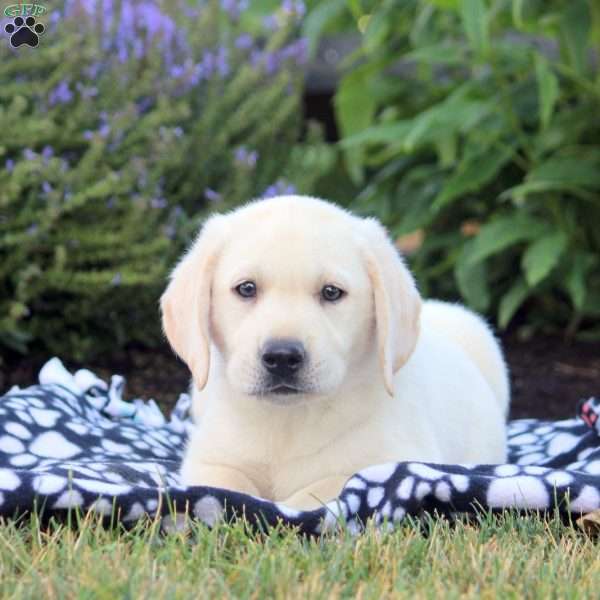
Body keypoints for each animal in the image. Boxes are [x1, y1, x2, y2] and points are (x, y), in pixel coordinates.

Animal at [162, 195, 508, 508]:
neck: (289, 421)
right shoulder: (211, 461)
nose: (282, 357)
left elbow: (320, 489)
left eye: (331, 292)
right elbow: (224, 489)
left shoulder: (399, 462)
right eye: (246, 288)